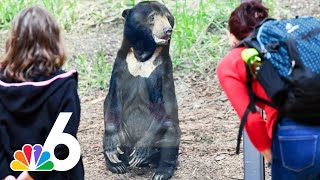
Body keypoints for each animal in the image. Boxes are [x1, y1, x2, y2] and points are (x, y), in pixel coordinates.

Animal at [104, 1, 181, 180]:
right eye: (152, 17)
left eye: (168, 18)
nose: (168, 30)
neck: (143, 56)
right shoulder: (120, 66)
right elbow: (111, 99)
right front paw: (111, 148)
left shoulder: (163, 71)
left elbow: (166, 105)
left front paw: (141, 150)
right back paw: (117, 165)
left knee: (171, 131)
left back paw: (160, 171)